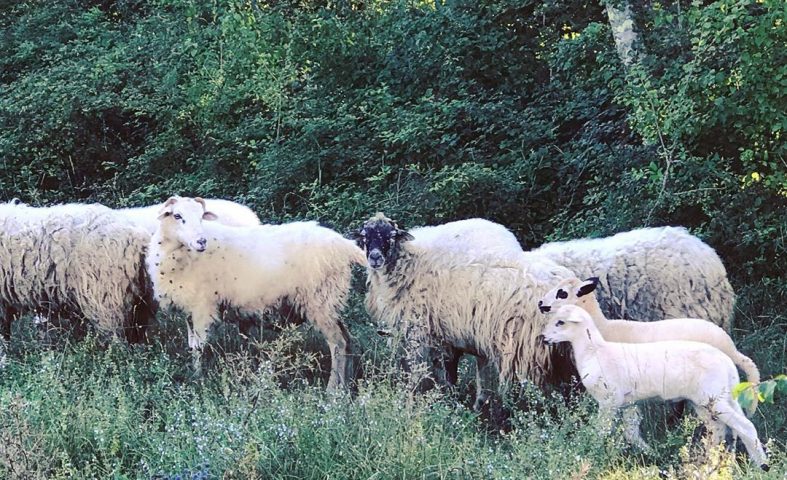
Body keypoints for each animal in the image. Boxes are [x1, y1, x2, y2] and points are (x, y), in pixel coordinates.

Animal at [146, 196, 364, 390]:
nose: (201, 241)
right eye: (177, 215)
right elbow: (192, 346)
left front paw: (197, 379)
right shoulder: (188, 309)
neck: (179, 255)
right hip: (330, 301)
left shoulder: (202, 307)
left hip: (320, 300)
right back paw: (348, 385)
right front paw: (194, 375)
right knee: (347, 340)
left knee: (338, 344)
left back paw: (333, 391)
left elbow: (198, 348)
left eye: (201, 217)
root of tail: (345, 245)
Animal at [352, 213, 575, 404]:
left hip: (530, 349)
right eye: (364, 236)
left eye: (391, 236)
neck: (411, 265)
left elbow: (422, 374)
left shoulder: (421, 334)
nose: (375, 258)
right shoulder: (448, 338)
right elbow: (449, 375)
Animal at [540, 304, 768, 469]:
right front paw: (652, 454)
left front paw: (590, 452)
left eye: (561, 322)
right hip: (710, 402)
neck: (594, 351)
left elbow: (600, 432)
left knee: (745, 426)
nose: (543, 338)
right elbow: (632, 432)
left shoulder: (608, 401)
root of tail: (728, 363)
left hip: (715, 399)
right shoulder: (628, 403)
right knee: (721, 430)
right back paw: (710, 461)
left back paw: (761, 465)